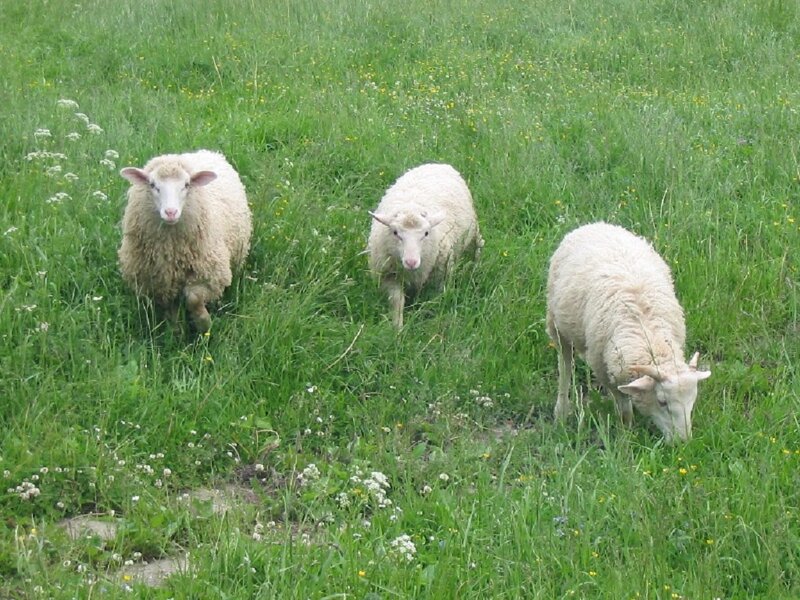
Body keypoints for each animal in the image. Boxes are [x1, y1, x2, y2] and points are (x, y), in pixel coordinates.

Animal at [118, 149, 252, 333]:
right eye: (152, 185)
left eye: (187, 185)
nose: (171, 212)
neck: (171, 252)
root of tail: (205, 151)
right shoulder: (162, 283)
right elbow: (171, 310)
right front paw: (176, 331)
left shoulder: (210, 276)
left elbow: (193, 299)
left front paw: (204, 325)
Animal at [367, 163, 484, 328]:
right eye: (395, 232)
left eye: (426, 233)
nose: (411, 262)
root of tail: (438, 164)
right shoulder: (388, 276)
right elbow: (397, 301)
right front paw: (397, 327)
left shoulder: (441, 274)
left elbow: (435, 299)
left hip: (473, 229)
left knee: (477, 245)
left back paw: (475, 266)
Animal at [546, 222, 711, 442]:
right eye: (662, 402)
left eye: (693, 400)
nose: (682, 442)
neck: (649, 336)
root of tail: (596, 224)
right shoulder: (604, 370)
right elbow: (624, 410)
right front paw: (626, 436)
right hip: (556, 324)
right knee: (565, 364)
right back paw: (561, 411)